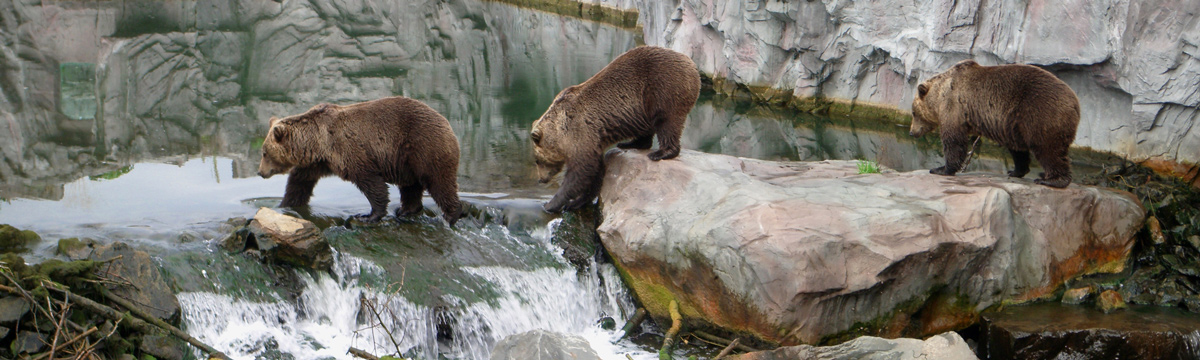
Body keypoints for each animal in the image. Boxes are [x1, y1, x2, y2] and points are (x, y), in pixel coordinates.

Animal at [259, 95, 463, 225]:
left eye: (264, 153)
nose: (260, 172)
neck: (317, 143)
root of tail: (447, 123)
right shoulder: (317, 162)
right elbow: (299, 182)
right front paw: (284, 204)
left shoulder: (349, 150)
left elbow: (371, 183)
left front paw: (368, 216)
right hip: (407, 162)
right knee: (411, 187)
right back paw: (406, 210)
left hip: (423, 146)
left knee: (439, 181)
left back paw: (451, 215)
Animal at [528, 45, 700, 213]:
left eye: (537, 160)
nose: (541, 179)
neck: (561, 131)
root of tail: (692, 64)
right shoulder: (592, 139)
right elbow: (595, 170)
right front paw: (577, 201)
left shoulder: (580, 132)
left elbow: (581, 171)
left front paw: (552, 204)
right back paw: (630, 143)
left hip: (663, 87)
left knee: (667, 122)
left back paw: (660, 153)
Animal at [912, 58, 1084, 188]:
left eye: (913, 113)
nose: (912, 132)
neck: (940, 95)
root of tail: (1075, 103)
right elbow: (1017, 150)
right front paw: (1016, 170)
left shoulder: (954, 106)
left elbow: (953, 140)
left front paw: (940, 169)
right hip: (1020, 121)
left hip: (1040, 113)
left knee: (1048, 149)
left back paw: (1051, 180)